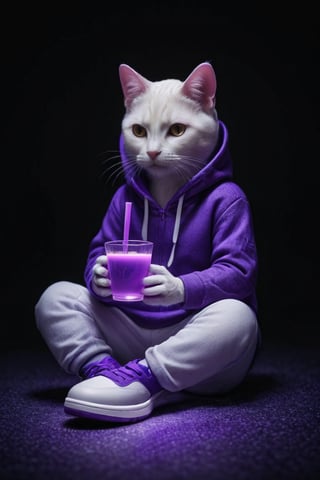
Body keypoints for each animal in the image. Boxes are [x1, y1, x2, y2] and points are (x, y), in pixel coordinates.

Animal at [35, 61, 260, 424]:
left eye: (178, 130)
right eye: (138, 131)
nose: (152, 152)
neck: (168, 195)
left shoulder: (234, 203)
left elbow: (236, 267)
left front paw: (168, 286)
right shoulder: (119, 202)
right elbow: (99, 248)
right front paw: (101, 275)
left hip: (222, 368)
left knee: (229, 314)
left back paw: (133, 380)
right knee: (57, 295)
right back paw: (104, 373)